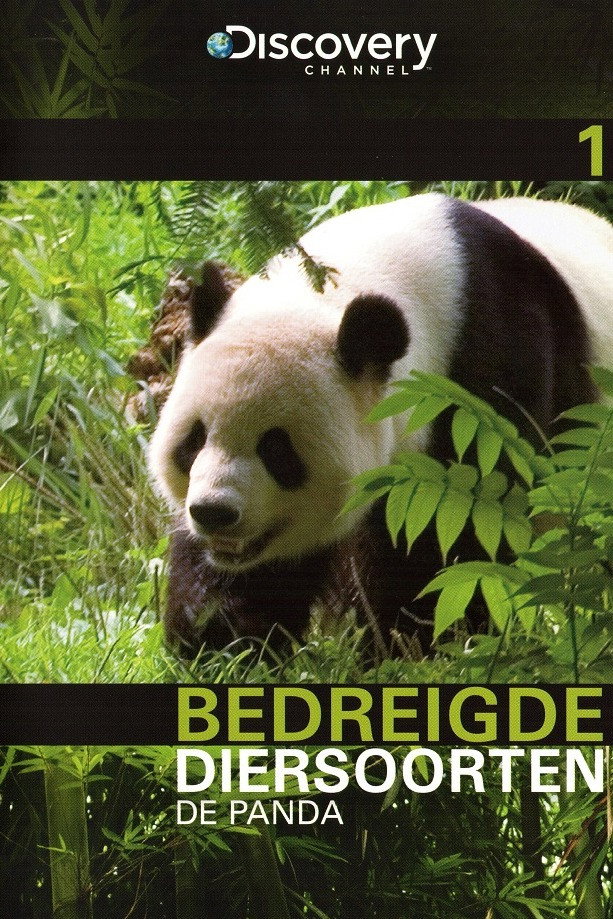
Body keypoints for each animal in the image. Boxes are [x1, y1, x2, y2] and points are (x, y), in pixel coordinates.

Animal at [149, 193, 613, 654]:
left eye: (276, 450)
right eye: (194, 440)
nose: (214, 512)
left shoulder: (493, 378)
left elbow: (458, 526)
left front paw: (411, 642)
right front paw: (225, 642)